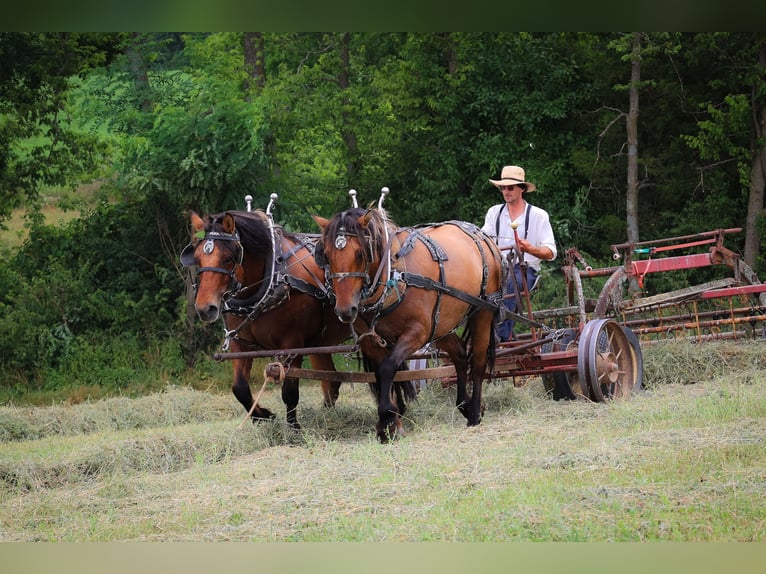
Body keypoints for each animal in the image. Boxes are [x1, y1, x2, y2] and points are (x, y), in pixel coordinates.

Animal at [180, 208, 352, 429]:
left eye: (228, 258)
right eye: (198, 258)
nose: (205, 309)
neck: (273, 280)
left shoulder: (293, 344)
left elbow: (289, 391)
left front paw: (294, 428)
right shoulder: (240, 343)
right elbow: (239, 388)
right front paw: (262, 416)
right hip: (318, 343)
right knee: (331, 382)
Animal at [313, 207, 506, 441]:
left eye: (360, 254)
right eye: (326, 255)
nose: (344, 310)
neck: (394, 275)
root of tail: (485, 238)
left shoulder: (417, 333)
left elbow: (388, 368)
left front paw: (388, 414)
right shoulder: (371, 340)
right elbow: (381, 374)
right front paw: (389, 423)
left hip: (482, 313)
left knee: (477, 363)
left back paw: (475, 412)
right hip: (441, 324)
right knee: (460, 356)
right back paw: (464, 404)